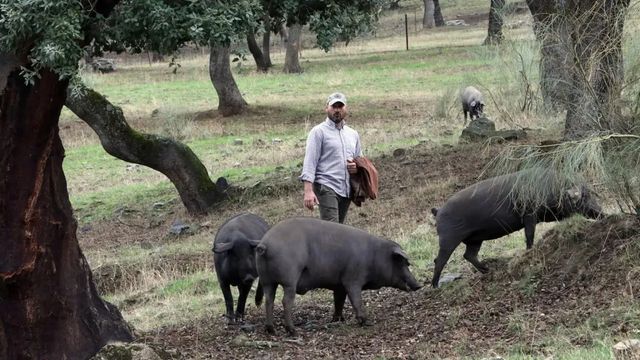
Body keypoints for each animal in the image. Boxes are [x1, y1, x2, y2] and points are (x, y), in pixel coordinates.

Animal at [255, 217, 420, 338]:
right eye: (403, 263)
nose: (419, 285)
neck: (374, 256)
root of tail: (265, 244)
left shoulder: (339, 285)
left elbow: (338, 301)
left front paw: (338, 320)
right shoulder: (352, 279)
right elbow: (356, 300)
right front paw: (367, 322)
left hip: (267, 281)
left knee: (269, 301)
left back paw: (271, 330)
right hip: (289, 279)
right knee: (285, 301)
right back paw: (294, 331)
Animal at [432, 170, 604, 288]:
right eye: (584, 197)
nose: (602, 213)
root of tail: (438, 211)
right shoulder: (529, 214)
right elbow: (529, 234)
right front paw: (529, 251)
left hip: (475, 239)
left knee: (468, 255)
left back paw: (487, 270)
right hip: (449, 238)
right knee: (439, 260)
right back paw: (435, 286)